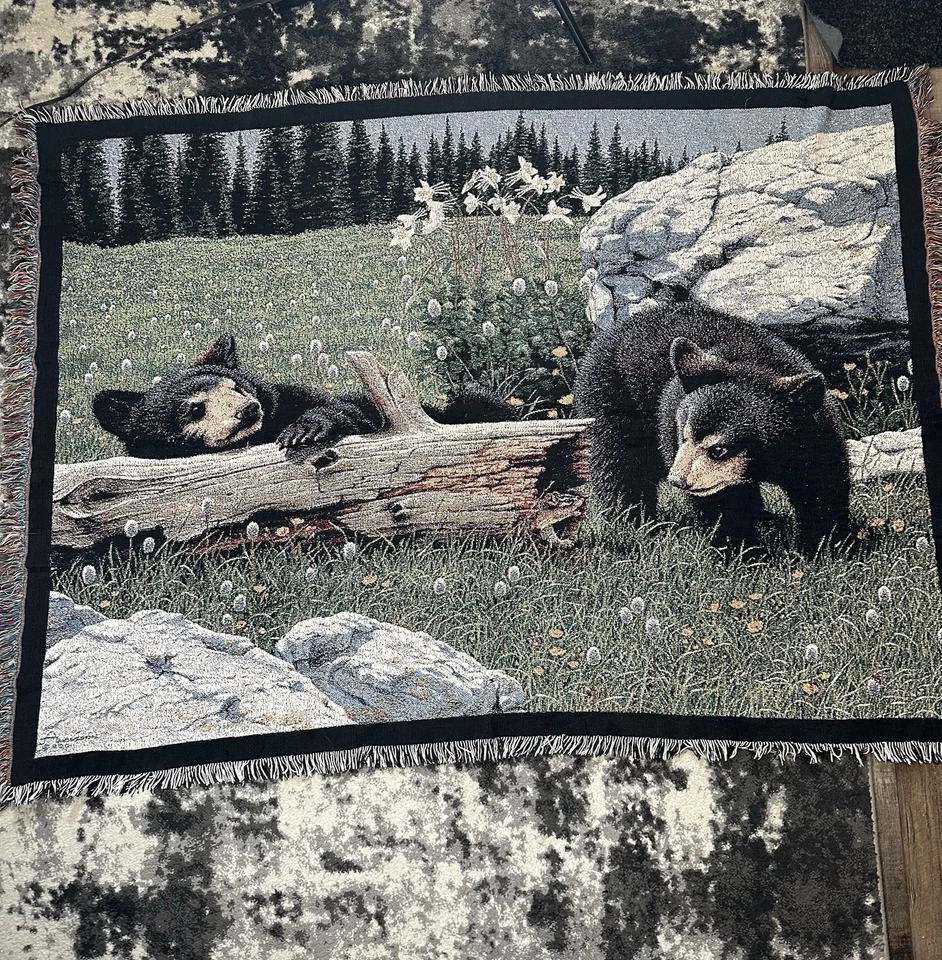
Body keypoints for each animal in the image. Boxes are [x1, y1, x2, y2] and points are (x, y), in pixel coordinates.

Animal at [92, 334, 511, 459]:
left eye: (237, 387)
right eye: (194, 408)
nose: (249, 410)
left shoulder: (294, 397)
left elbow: (347, 411)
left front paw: (303, 431)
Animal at [573, 302, 851, 554]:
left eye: (719, 449)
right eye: (684, 436)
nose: (678, 480)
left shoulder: (813, 437)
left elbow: (821, 484)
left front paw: (826, 543)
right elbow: (719, 505)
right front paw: (744, 551)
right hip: (611, 400)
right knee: (620, 467)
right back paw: (634, 522)